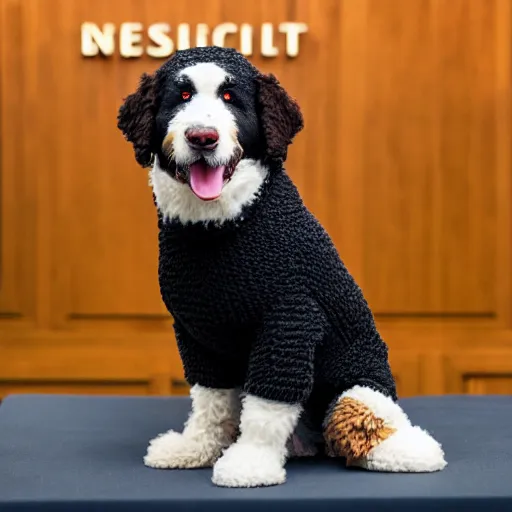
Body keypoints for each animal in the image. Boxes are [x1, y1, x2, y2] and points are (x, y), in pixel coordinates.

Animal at [116, 47, 444, 488]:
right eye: (181, 95)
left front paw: (250, 462)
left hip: (356, 385)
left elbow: (267, 404)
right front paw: (195, 447)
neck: (221, 224)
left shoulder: (290, 320)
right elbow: (210, 401)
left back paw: (409, 450)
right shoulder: (196, 332)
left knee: (362, 417)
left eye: (230, 98)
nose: (202, 137)